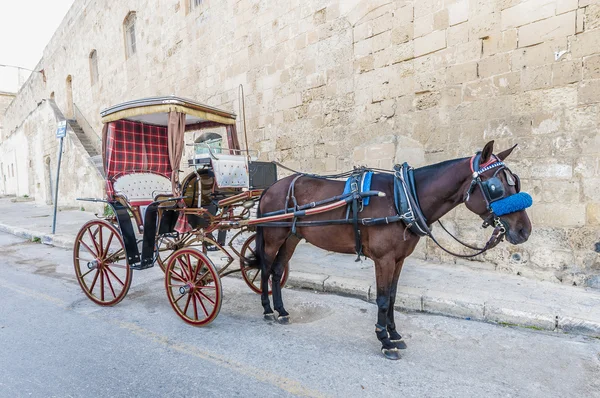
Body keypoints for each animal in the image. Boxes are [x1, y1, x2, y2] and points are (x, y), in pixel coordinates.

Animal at [251, 141, 532, 360]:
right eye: (496, 186)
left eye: (515, 183)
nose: (524, 231)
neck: (403, 197)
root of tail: (270, 188)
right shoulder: (383, 259)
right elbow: (383, 298)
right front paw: (384, 340)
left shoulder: (399, 259)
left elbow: (394, 297)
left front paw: (395, 334)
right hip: (274, 236)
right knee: (265, 269)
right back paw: (267, 309)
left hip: (291, 237)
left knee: (277, 271)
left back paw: (281, 311)